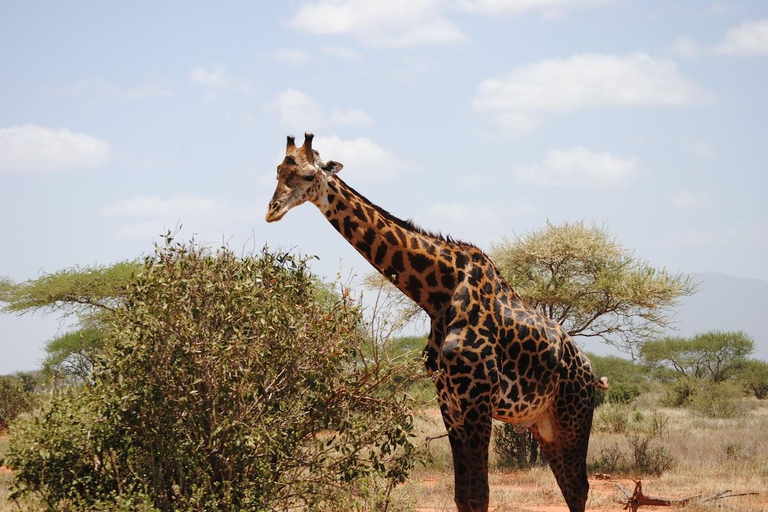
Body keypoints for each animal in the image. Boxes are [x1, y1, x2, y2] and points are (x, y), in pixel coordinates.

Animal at [268, 133, 608, 512]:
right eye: (278, 171)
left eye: (309, 175)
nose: (272, 210)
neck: (438, 294)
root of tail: (591, 374)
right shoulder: (449, 400)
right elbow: (463, 496)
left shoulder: (477, 398)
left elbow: (480, 495)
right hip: (542, 424)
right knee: (569, 485)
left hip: (573, 415)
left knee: (578, 487)